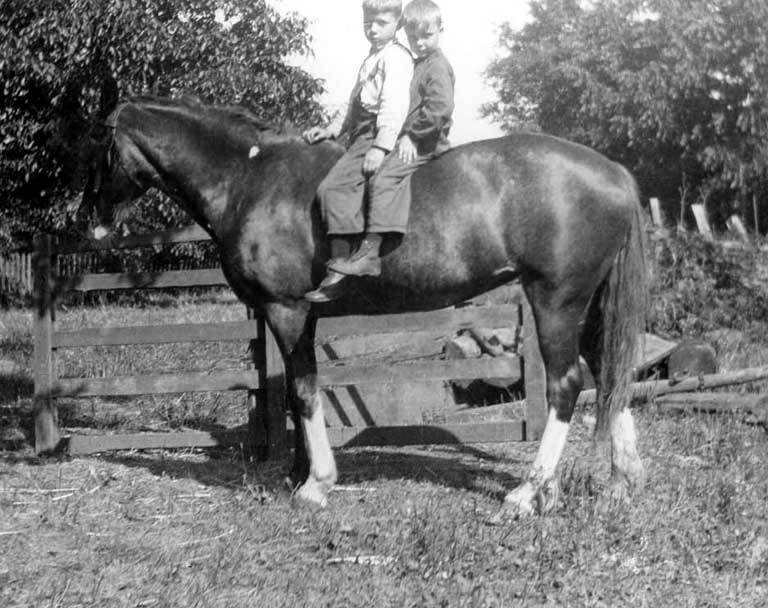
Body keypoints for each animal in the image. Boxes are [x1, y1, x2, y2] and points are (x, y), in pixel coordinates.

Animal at [75, 96, 647, 517]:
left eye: (96, 145)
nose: (88, 219)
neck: (251, 178)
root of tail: (616, 173)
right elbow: (294, 394)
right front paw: (298, 472)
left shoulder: (287, 311)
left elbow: (304, 392)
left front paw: (316, 484)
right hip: (588, 304)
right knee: (608, 373)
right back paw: (620, 481)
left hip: (556, 301)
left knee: (566, 385)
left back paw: (529, 492)